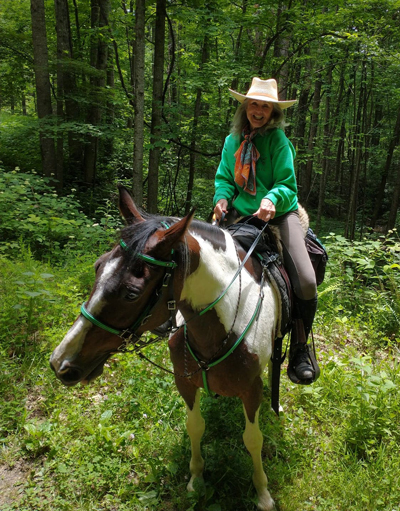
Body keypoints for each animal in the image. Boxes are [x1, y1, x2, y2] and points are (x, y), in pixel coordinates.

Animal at [50, 187, 282, 508]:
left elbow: (253, 439)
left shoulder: (251, 390)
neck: (221, 326)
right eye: (98, 266)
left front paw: (263, 493)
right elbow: (195, 425)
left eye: (132, 293)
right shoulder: (184, 382)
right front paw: (196, 480)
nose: (61, 363)